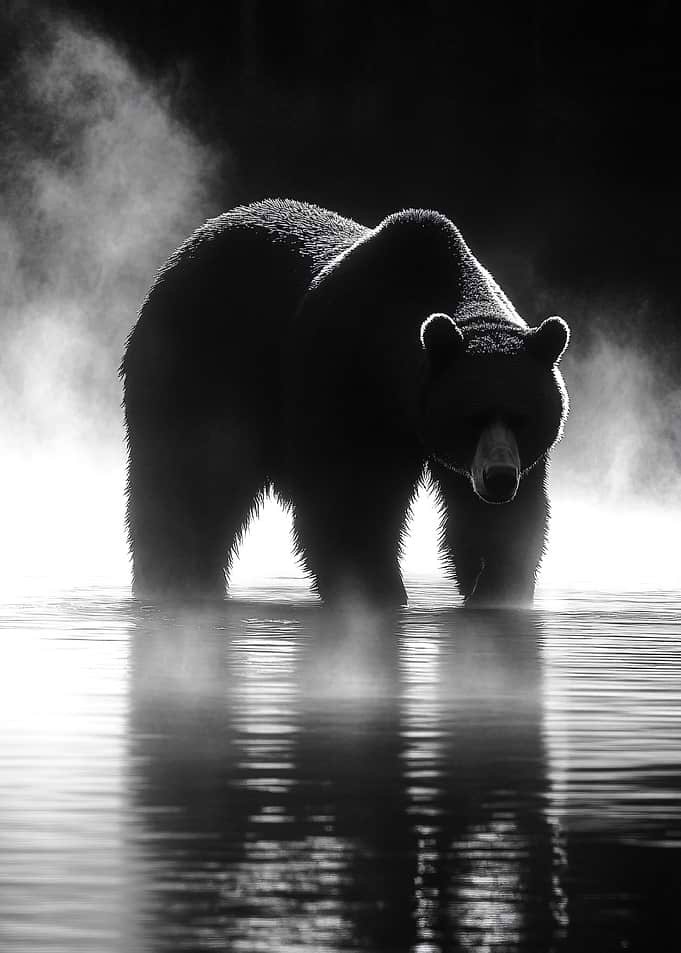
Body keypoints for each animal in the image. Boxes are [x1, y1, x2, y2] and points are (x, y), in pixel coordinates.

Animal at [121, 199, 569, 607]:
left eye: (523, 417)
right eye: (470, 418)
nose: (499, 478)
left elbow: (501, 522)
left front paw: (496, 588)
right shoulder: (343, 378)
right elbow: (349, 497)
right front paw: (377, 589)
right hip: (201, 364)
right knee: (190, 480)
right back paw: (175, 580)